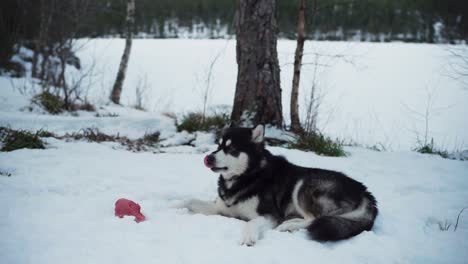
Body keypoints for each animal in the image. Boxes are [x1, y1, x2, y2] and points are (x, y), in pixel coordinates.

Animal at [177, 125, 378, 246]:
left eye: (232, 149)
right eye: (218, 146)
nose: (209, 158)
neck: (247, 176)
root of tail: (365, 191)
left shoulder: (270, 215)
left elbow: (251, 223)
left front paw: (248, 237)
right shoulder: (221, 208)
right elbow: (189, 200)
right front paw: (173, 205)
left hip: (303, 185)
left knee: (317, 218)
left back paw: (288, 225)